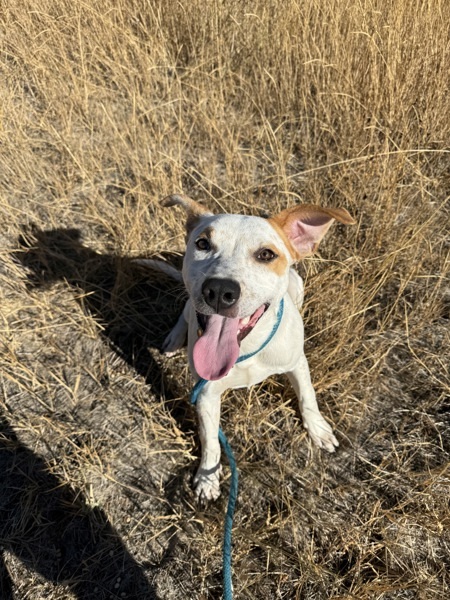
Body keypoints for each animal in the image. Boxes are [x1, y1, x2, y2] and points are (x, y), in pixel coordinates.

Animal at [155, 196, 356, 502]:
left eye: (266, 254)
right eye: (202, 244)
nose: (219, 291)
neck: (245, 350)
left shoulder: (297, 362)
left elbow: (307, 396)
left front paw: (318, 429)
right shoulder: (206, 394)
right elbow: (210, 440)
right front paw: (207, 478)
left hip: (298, 284)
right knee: (187, 309)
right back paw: (176, 337)